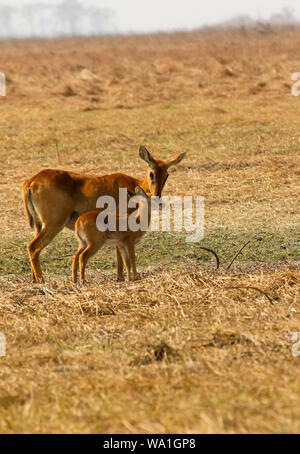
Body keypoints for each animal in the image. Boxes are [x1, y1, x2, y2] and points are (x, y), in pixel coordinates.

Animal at [22, 145, 185, 282]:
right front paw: (122, 277)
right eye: (152, 173)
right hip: (54, 224)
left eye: (166, 175)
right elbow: (121, 253)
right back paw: (42, 281)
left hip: (38, 225)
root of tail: (31, 181)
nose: (157, 197)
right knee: (34, 247)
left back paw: (35, 280)